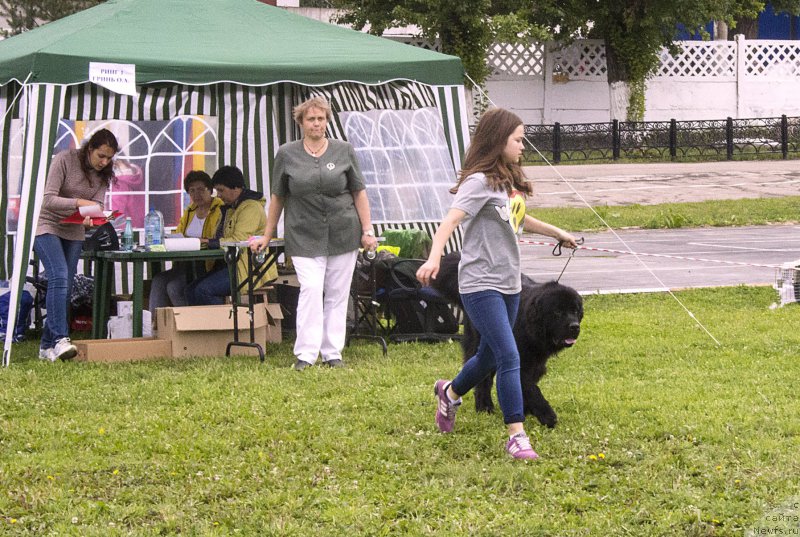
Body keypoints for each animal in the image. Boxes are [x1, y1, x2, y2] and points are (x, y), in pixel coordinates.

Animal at [432, 251, 580, 428]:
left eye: (575, 311)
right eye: (557, 312)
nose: (574, 326)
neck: (531, 325)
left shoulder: (537, 363)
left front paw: (526, 409)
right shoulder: (521, 362)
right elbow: (531, 388)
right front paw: (547, 415)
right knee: (484, 379)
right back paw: (484, 406)